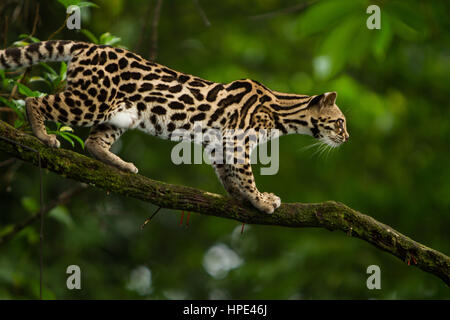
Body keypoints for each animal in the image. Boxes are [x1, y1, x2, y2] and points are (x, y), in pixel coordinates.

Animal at [0, 41, 348, 214]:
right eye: (341, 121)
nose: (347, 136)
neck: (281, 110)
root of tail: (87, 46)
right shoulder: (237, 140)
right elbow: (246, 174)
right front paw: (261, 199)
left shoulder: (219, 143)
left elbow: (229, 175)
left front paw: (243, 197)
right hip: (91, 99)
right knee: (35, 100)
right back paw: (43, 134)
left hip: (121, 112)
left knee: (93, 142)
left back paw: (121, 165)